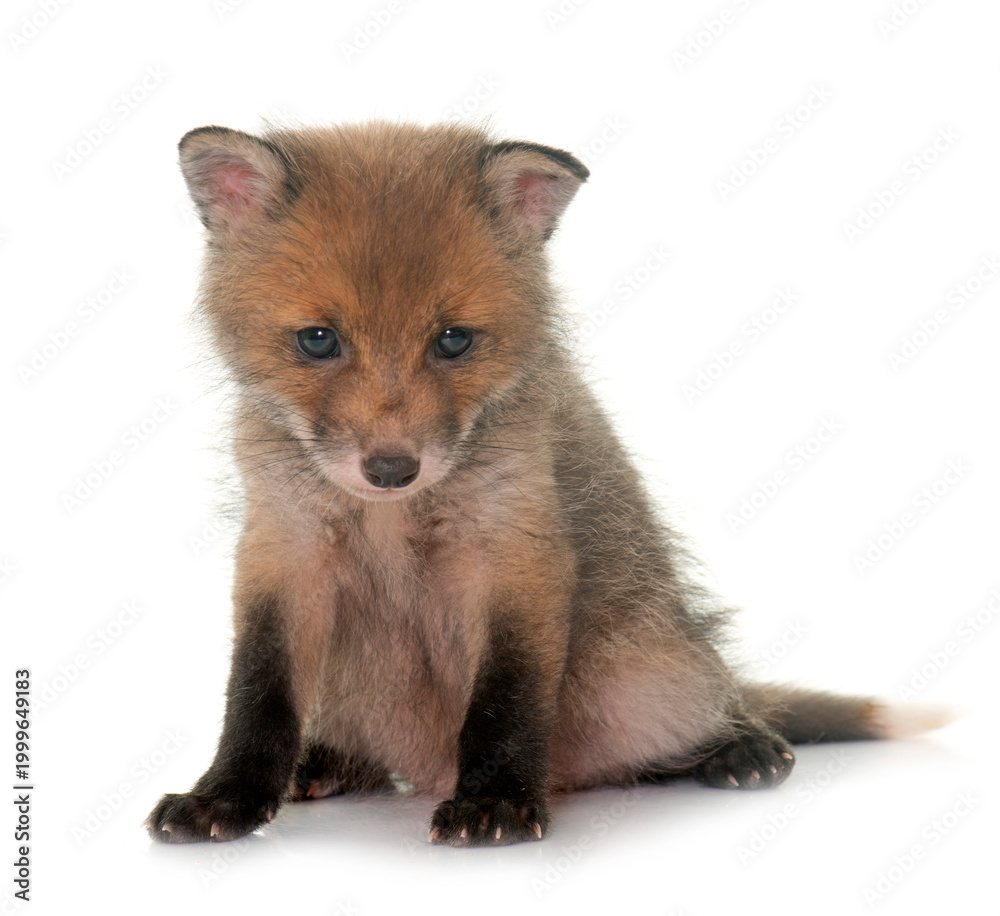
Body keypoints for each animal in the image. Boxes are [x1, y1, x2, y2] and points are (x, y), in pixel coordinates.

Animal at [146, 120, 945, 847]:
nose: (392, 469)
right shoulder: (285, 551)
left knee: (714, 704)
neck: (394, 517)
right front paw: (226, 798)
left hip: (648, 681)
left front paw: (494, 801)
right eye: (318, 340)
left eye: (454, 340)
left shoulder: (517, 552)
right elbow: (257, 697)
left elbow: (506, 701)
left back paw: (736, 747)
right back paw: (325, 765)